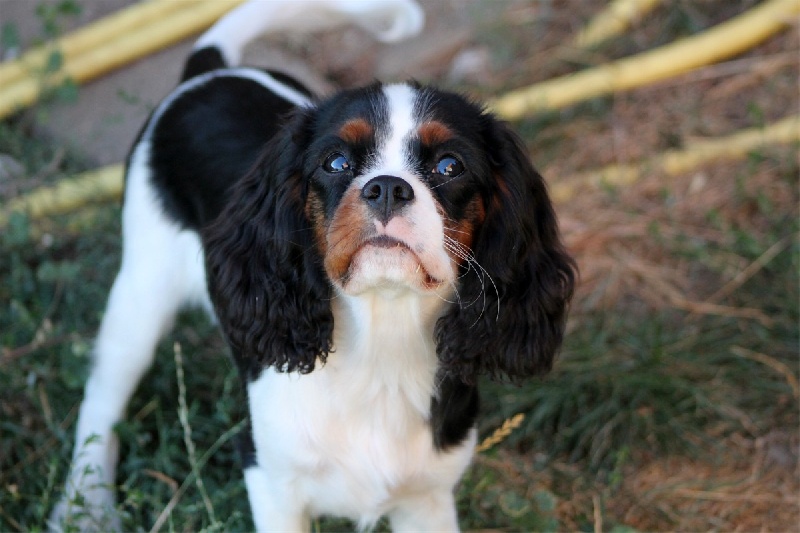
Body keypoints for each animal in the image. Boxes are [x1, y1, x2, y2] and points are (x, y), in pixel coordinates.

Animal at [50, 1, 576, 528]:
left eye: (450, 166)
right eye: (336, 163)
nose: (387, 187)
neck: (383, 340)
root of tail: (208, 71)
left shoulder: (428, 498)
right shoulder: (270, 477)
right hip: (142, 287)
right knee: (102, 398)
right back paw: (85, 506)